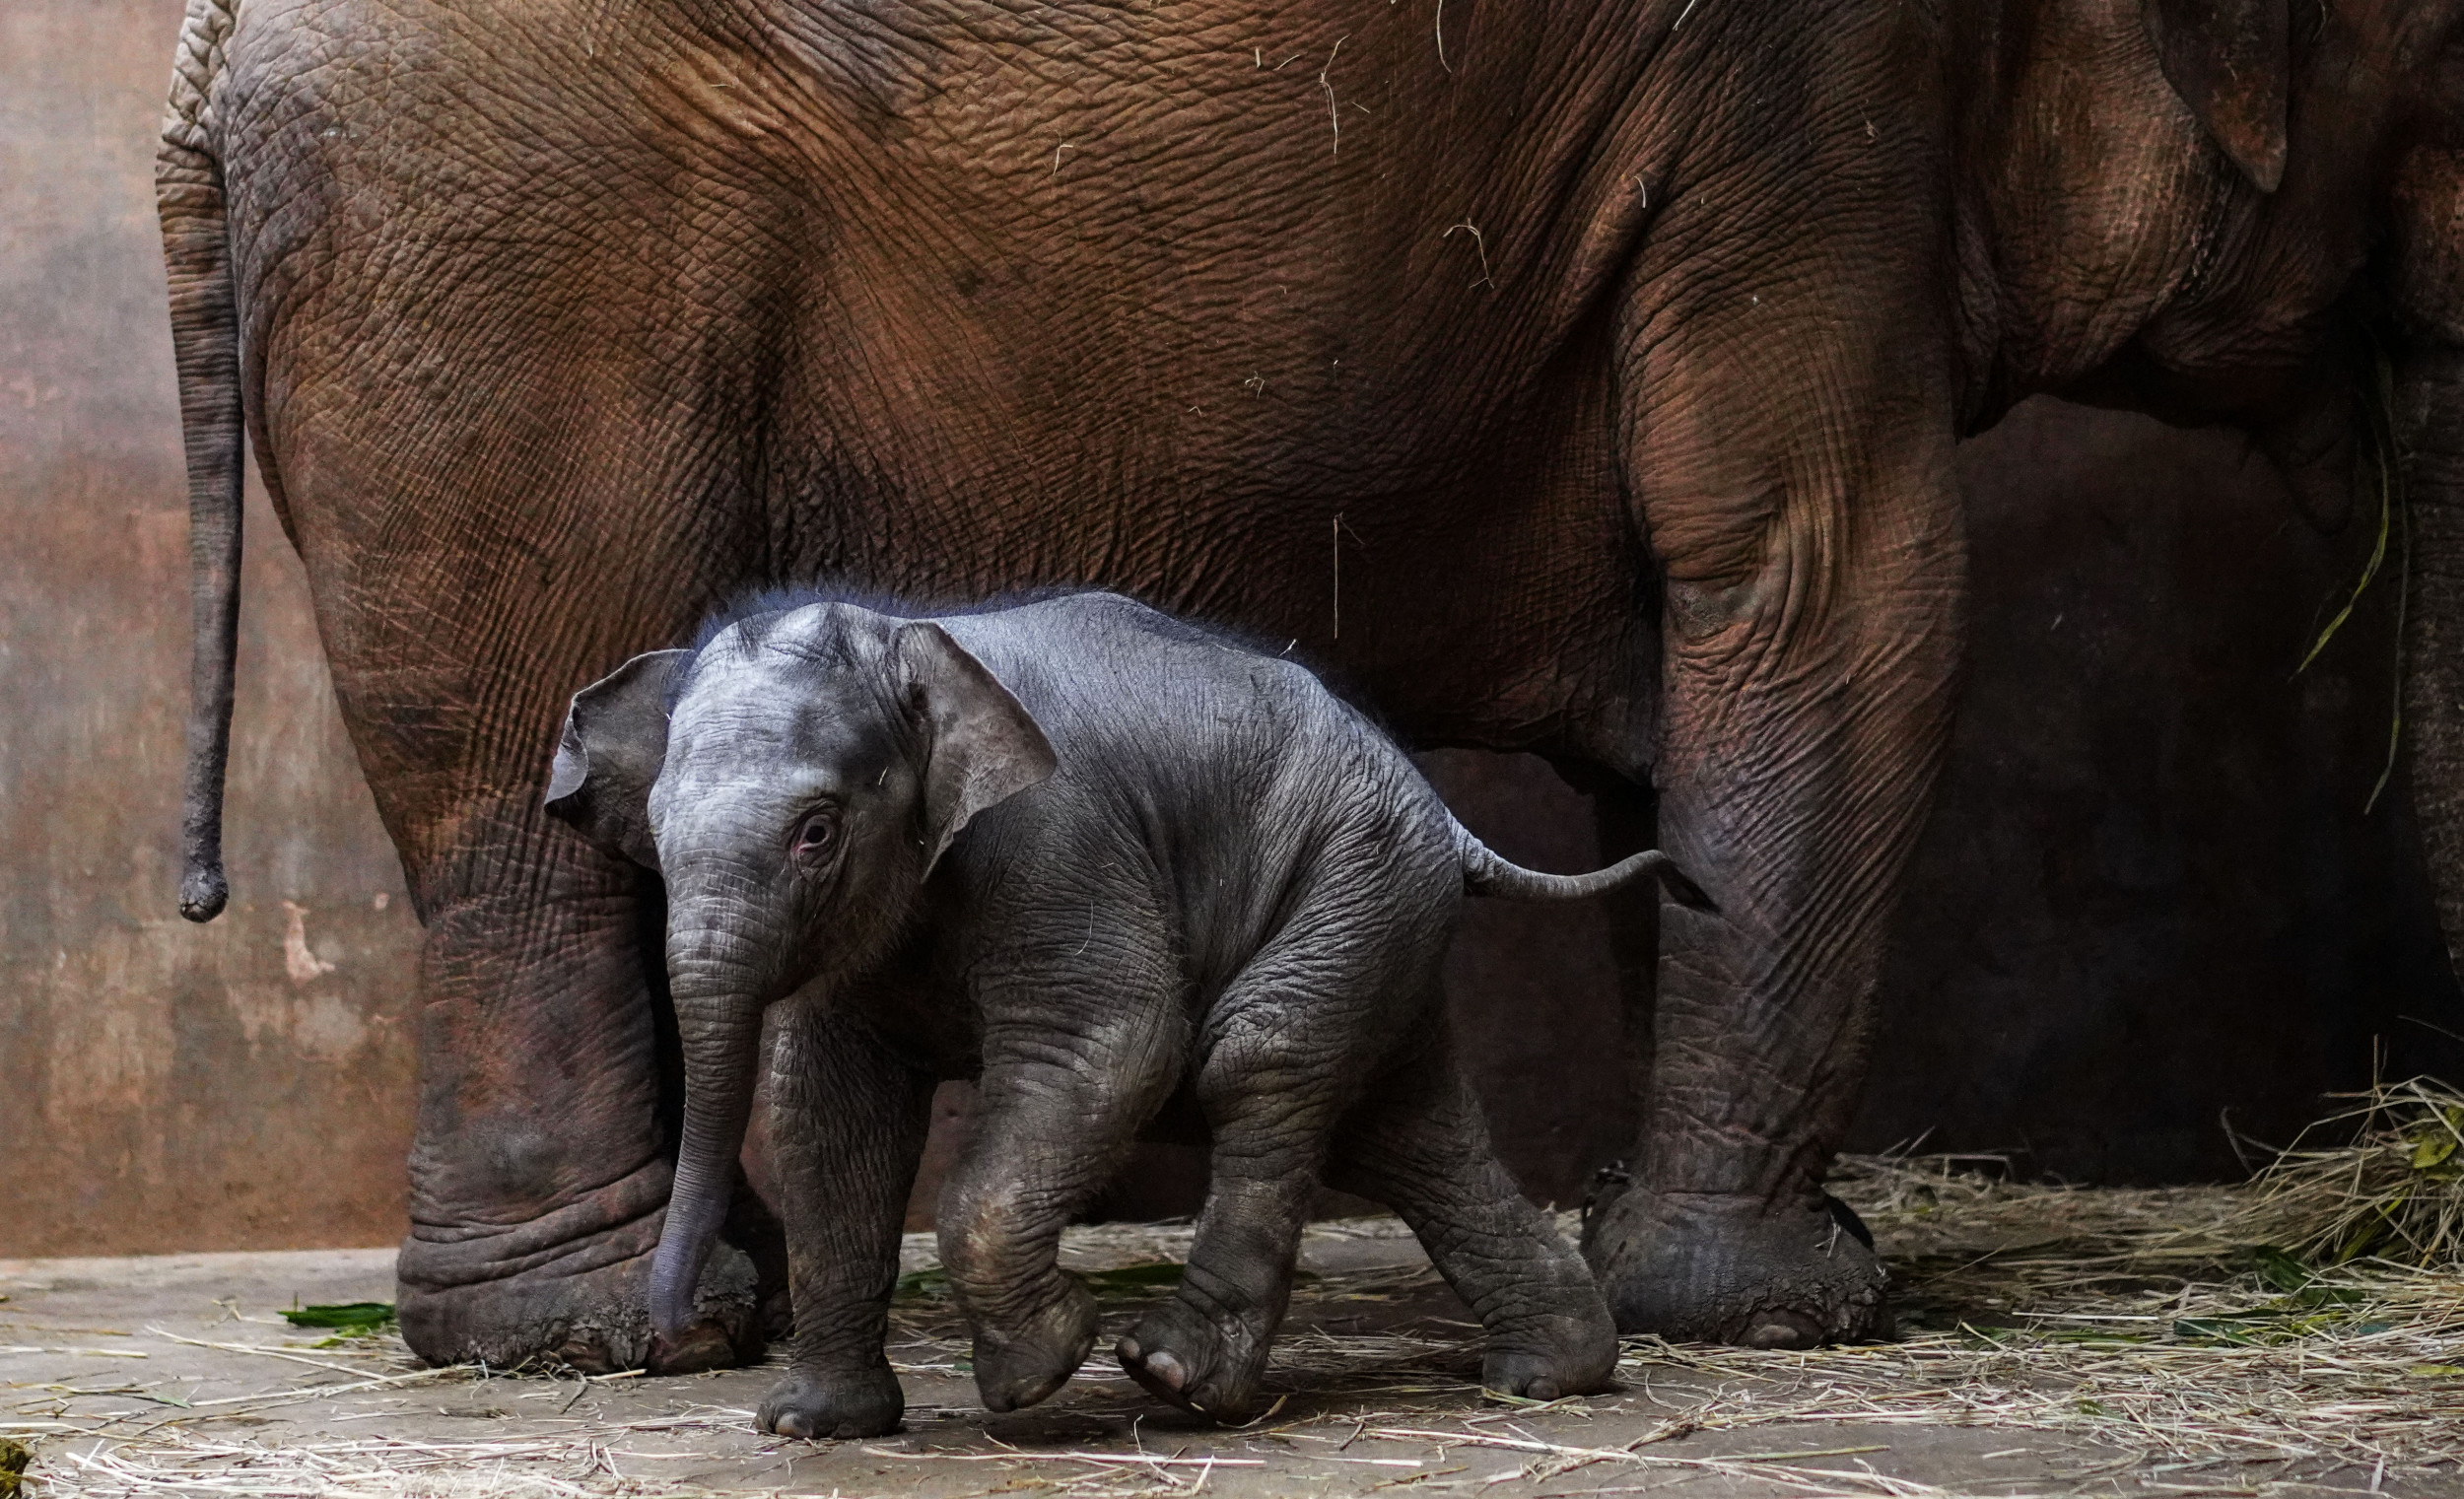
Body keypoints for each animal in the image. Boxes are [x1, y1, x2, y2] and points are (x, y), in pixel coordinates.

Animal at [547, 591, 1705, 1429]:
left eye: (817, 832)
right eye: (655, 828)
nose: (686, 1330)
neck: (911, 644)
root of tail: (1450, 822)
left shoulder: (1056, 835)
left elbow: (1115, 1037)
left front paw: (1036, 1370)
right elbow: (836, 1112)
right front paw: (810, 1426)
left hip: (1353, 878)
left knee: (1258, 1058)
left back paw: (1170, 1374)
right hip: (1380, 910)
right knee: (1405, 1133)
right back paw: (1547, 1373)